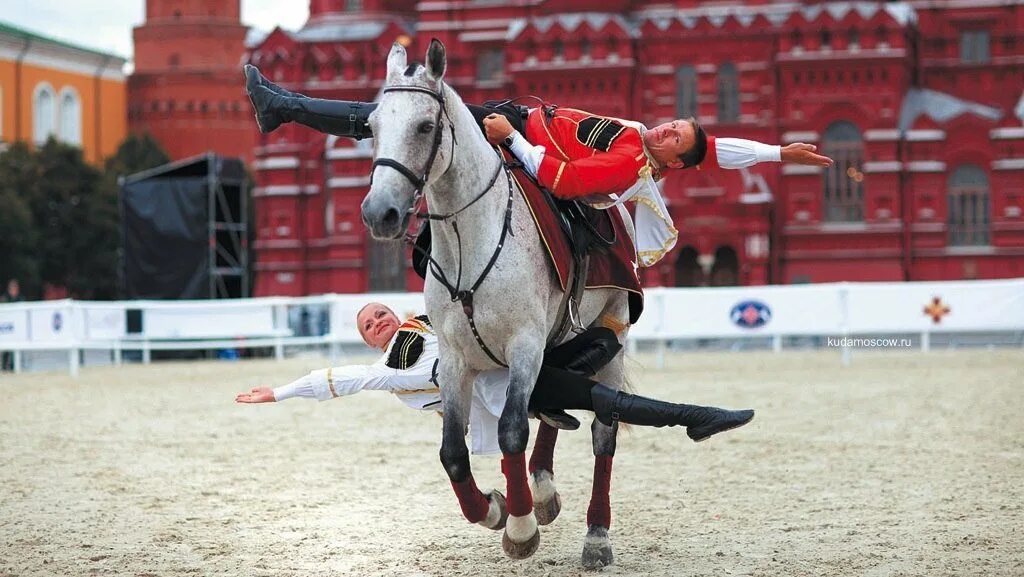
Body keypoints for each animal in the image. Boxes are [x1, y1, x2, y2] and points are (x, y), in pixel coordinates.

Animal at [360, 40, 630, 569]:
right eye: (374, 125)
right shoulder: (456, 357)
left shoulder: (524, 345)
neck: (473, 241)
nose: (379, 212)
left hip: (612, 331)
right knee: (551, 411)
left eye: (425, 126)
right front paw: (494, 507)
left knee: (601, 433)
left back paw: (596, 533)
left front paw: (521, 529)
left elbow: (510, 430)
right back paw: (543, 489)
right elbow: (452, 452)